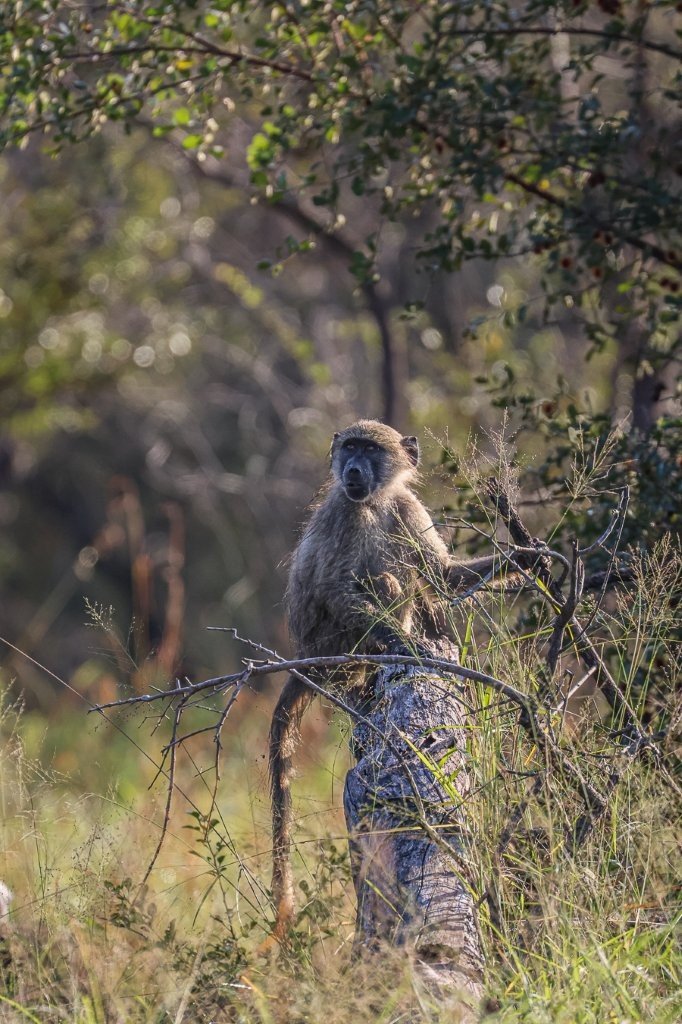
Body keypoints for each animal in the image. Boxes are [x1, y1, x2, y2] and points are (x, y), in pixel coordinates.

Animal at [268, 420, 516, 940]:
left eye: (370, 449)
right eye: (350, 447)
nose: (352, 470)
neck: (375, 500)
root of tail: (305, 656)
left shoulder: (404, 504)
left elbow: (442, 575)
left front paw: (531, 558)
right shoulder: (348, 514)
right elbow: (338, 587)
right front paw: (412, 650)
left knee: (410, 573)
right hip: (337, 647)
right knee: (386, 580)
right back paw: (388, 658)